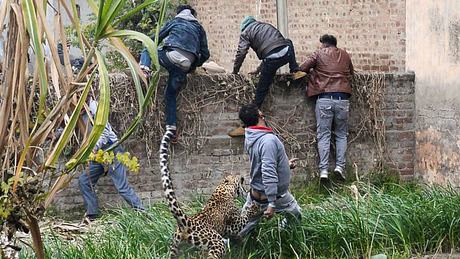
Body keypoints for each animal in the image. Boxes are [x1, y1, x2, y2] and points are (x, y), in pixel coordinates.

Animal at [159, 125, 260, 258]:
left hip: (175, 249)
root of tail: (186, 224)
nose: (242, 177)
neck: (224, 189)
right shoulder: (234, 223)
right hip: (216, 243)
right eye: (235, 176)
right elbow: (244, 216)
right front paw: (253, 208)